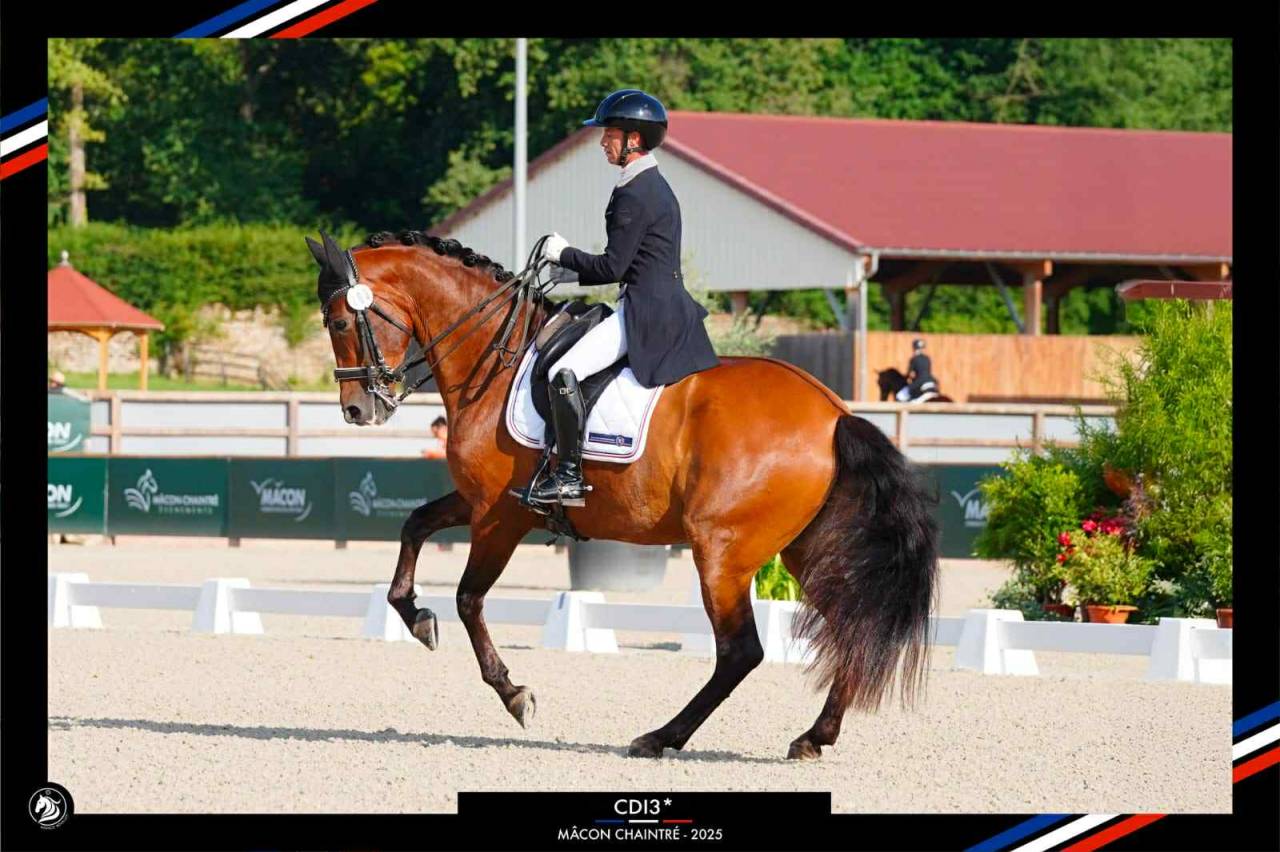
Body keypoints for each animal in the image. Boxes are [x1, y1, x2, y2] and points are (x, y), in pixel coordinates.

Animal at [307, 229, 939, 760]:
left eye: (337, 323)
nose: (357, 410)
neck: (493, 355)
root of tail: (834, 414)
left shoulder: (500, 516)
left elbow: (468, 599)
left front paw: (514, 694)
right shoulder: (480, 502)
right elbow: (413, 524)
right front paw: (415, 617)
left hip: (723, 552)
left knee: (741, 651)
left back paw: (661, 737)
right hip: (802, 549)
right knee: (848, 628)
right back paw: (814, 736)